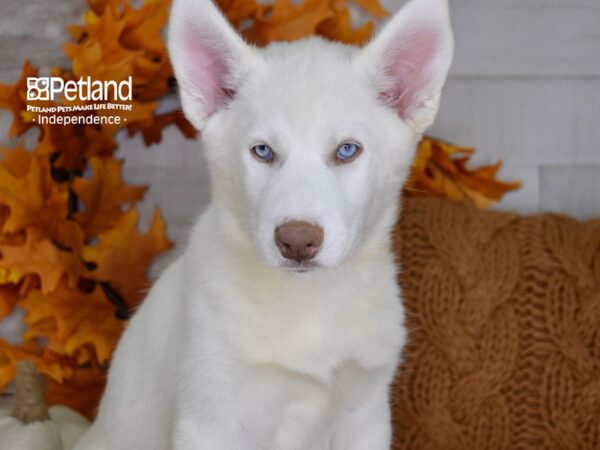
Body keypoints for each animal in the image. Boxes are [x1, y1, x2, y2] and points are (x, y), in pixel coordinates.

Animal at [74, 0, 450, 448]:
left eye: (347, 150)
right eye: (263, 151)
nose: (297, 241)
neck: (310, 304)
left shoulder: (365, 416)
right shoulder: (211, 419)